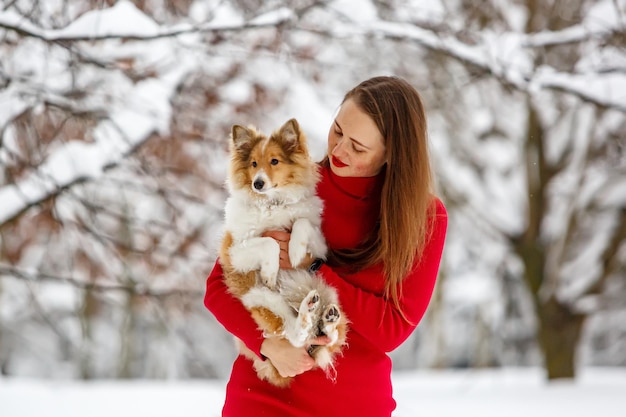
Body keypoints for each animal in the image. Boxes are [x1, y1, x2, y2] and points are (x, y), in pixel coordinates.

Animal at [218, 117, 346, 386]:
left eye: (274, 161)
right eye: (253, 164)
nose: (258, 183)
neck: (272, 203)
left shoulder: (319, 242)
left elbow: (301, 224)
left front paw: (295, 253)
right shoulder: (234, 252)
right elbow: (270, 242)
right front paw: (271, 270)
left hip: (327, 291)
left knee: (327, 338)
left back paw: (327, 318)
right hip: (260, 298)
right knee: (297, 335)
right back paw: (309, 312)